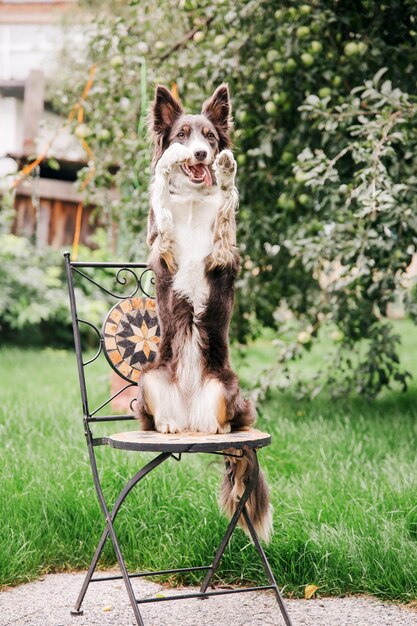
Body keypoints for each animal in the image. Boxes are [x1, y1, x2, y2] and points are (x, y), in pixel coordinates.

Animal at [136, 84, 272, 540]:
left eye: (210, 138)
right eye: (181, 135)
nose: (199, 154)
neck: (194, 201)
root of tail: (191, 418)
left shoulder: (224, 253)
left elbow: (228, 205)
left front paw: (227, 173)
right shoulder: (161, 245)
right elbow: (160, 200)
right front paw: (164, 170)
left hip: (226, 390)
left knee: (227, 427)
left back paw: (217, 427)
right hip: (148, 379)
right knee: (159, 418)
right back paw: (168, 425)